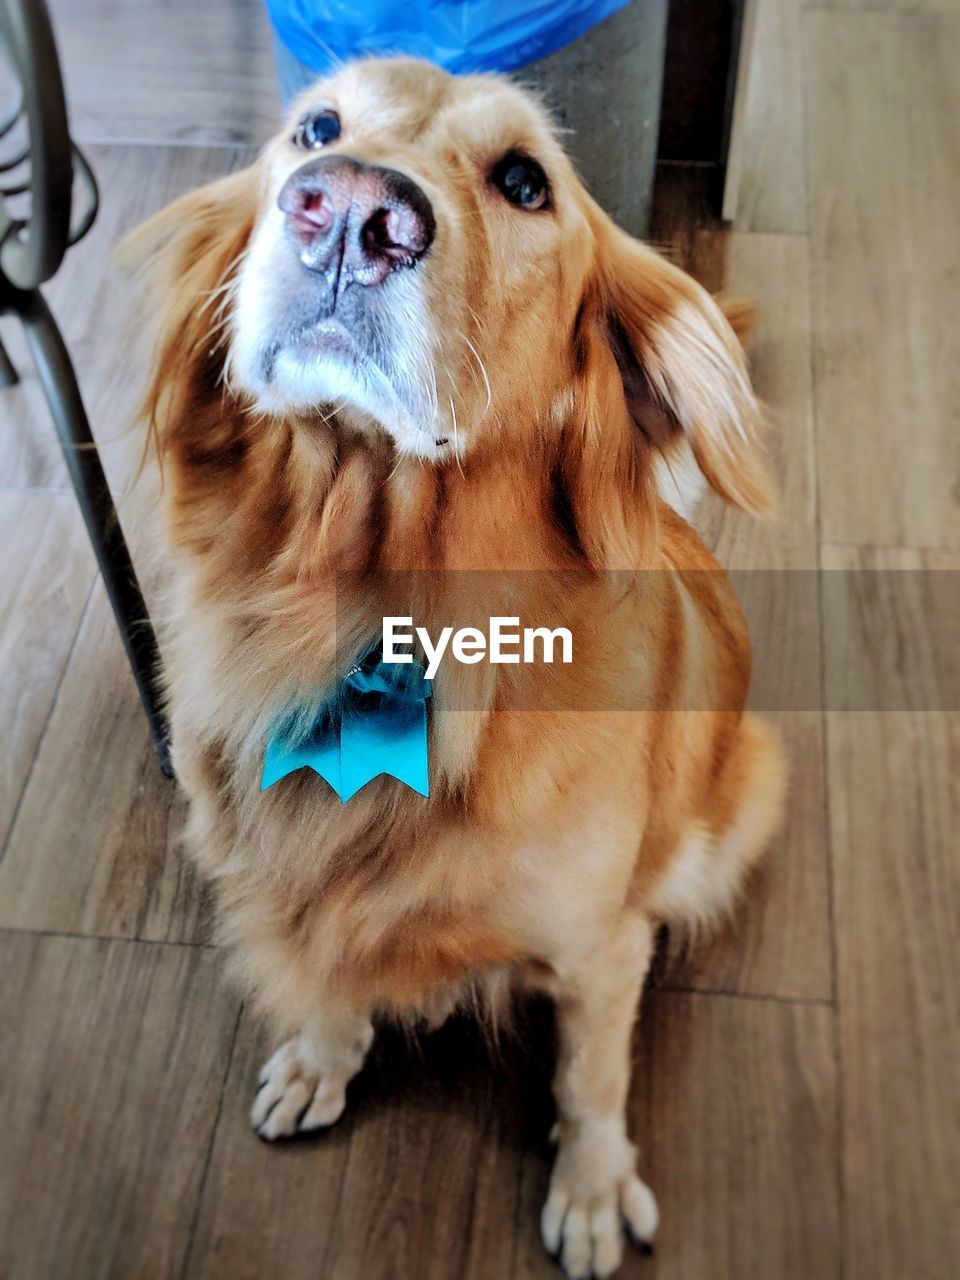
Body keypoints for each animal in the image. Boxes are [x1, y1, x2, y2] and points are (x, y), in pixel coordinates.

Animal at [131, 57, 783, 1280]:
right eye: (315, 128)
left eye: (525, 181)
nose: (348, 213)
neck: (370, 615)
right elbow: (333, 981)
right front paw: (321, 1057)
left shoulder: (597, 945)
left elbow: (591, 1074)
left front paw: (591, 1186)